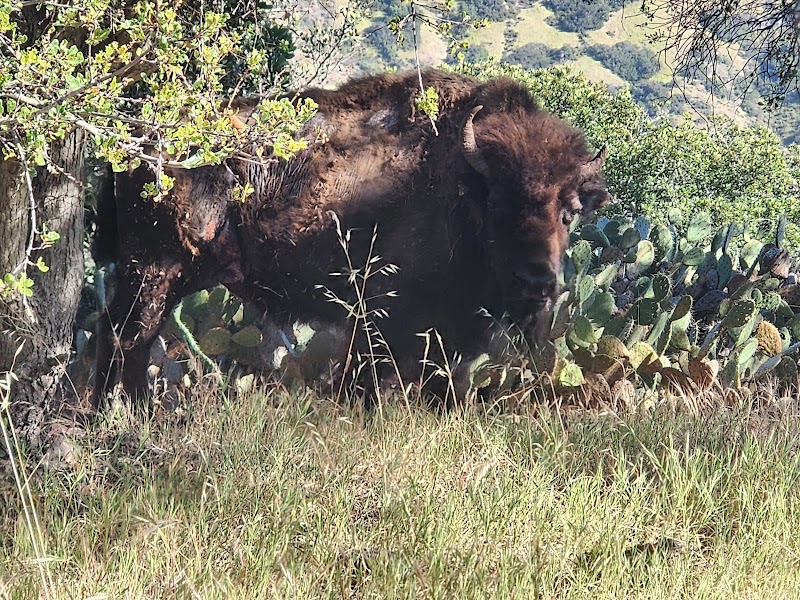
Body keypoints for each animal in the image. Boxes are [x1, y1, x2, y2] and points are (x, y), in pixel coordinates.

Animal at [93, 69, 609, 407]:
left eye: (569, 213)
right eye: (499, 205)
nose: (538, 284)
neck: (460, 185)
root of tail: (132, 139)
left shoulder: (451, 336)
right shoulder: (381, 316)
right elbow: (360, 381)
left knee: (121, 333)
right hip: (157, 269)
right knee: (128, 337)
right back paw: (127, 414)